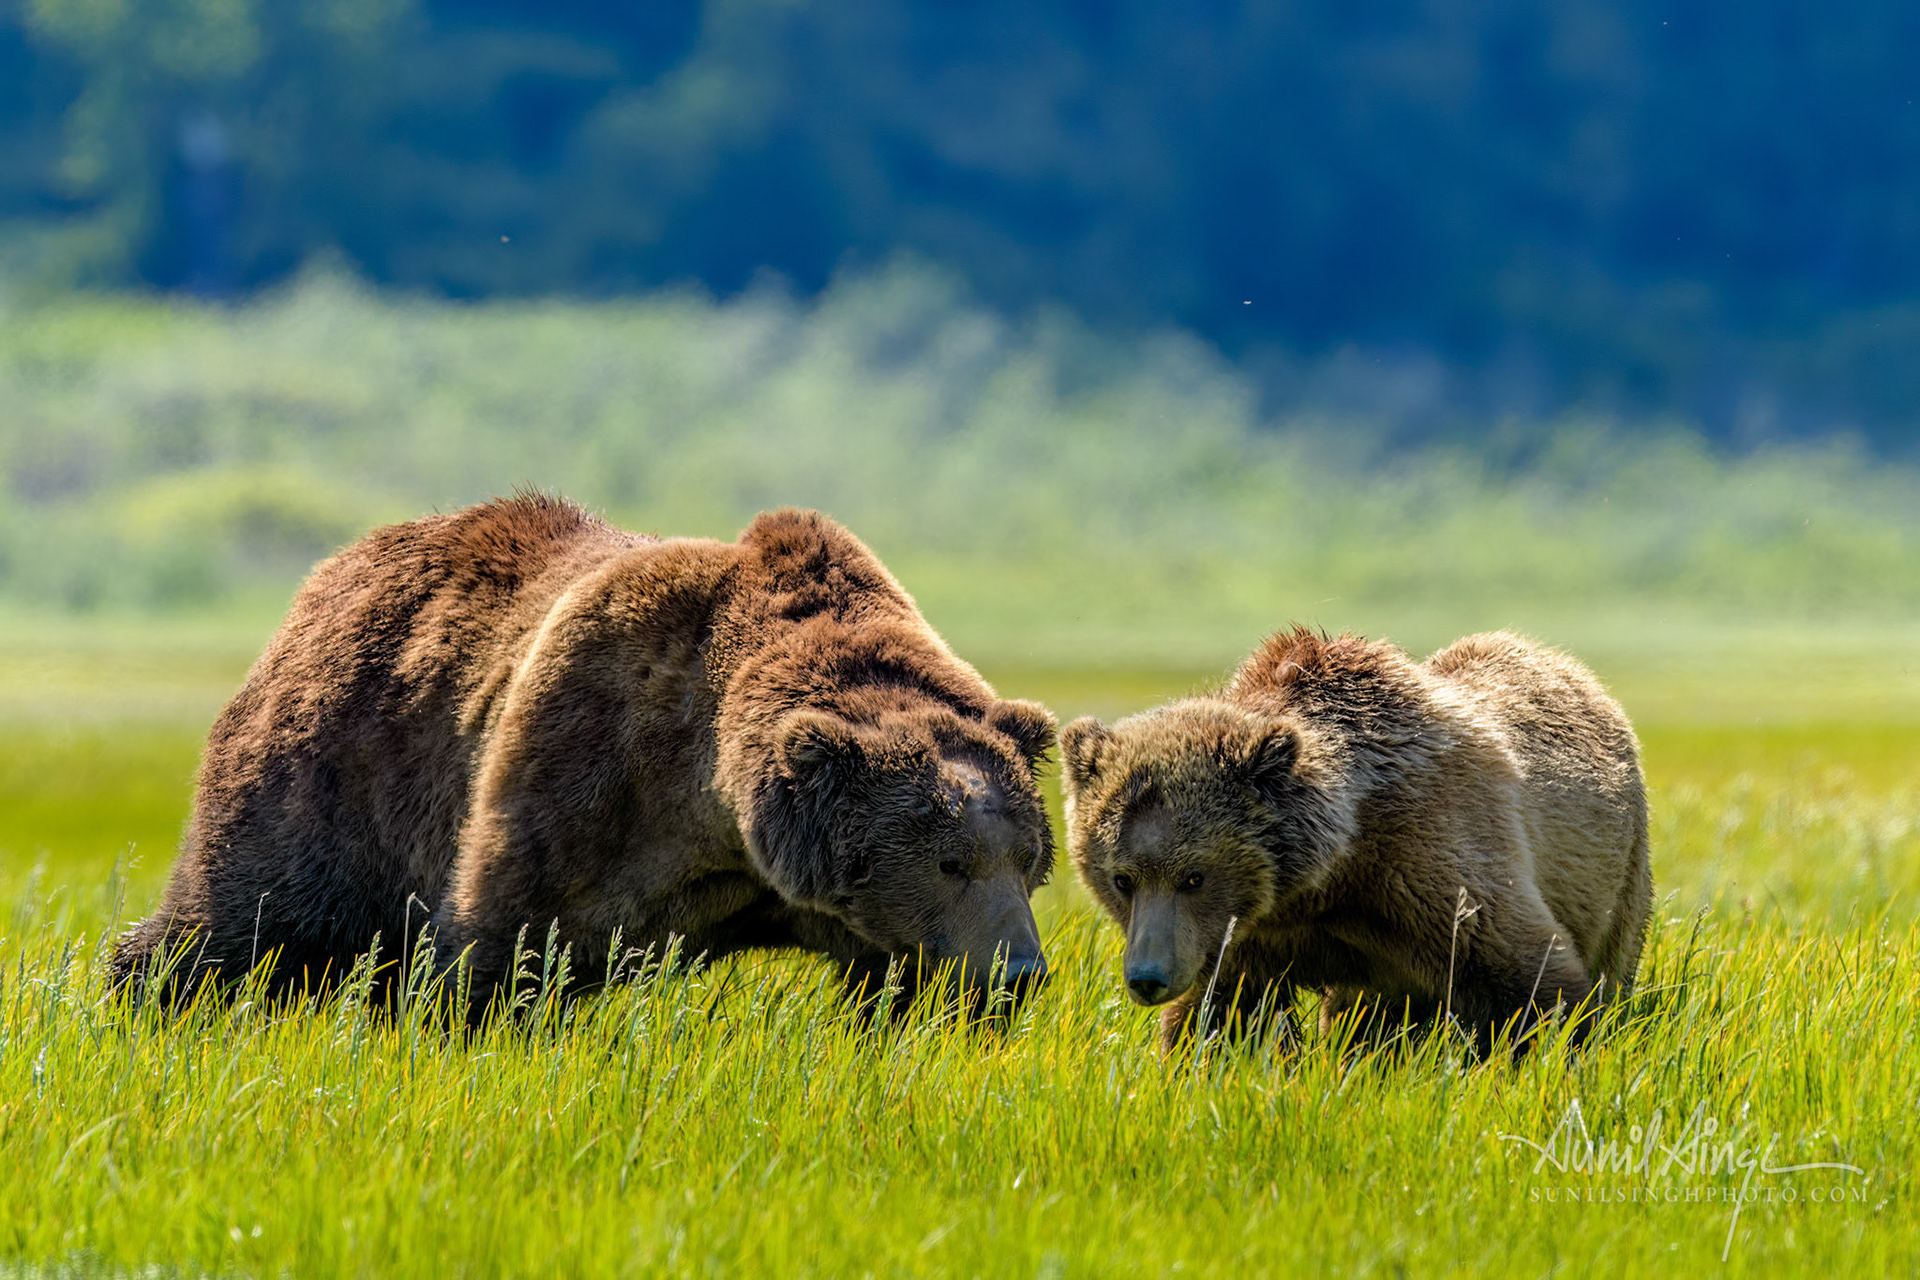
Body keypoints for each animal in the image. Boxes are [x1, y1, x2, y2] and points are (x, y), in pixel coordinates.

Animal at [113, 495, 1059, 1016]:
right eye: (949, 861)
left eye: (1028, 860)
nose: (1020, 973)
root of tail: (327, 578)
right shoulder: (586, 769)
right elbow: (503, 948)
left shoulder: (846, 911)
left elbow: (903, 990)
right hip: (337, 773)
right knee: (236, 922)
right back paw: (137, 998)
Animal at [1059, 627, 1650, 1055]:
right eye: (1122, 878)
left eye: (1193, 876)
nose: (1147, 977)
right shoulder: (1246, 933)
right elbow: (1222, 1015)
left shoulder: (1429, 863)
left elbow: (1526, 981)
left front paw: (1550, 1054)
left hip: (1621, 867)